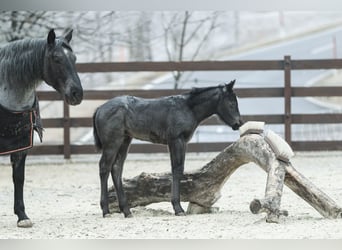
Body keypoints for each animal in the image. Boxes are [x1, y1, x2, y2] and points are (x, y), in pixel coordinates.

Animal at [0, 28, 83, 227]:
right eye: (56, 58)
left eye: (74, 58)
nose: (77, 93)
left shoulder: (20, 145)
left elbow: (19, 178)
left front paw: (22, 216)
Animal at [93, 79, 243, 217]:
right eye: (231, 103)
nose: (238, 123)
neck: (187, 108)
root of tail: (99, 108)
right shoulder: (176, 140)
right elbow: (177, 169)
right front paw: (178, 208)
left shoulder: (180, 142)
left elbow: (177, 169)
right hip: (112, 143)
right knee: (104, 168)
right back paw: (106, 210)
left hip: (124, 141)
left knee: (116, 168)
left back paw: (126, 211)